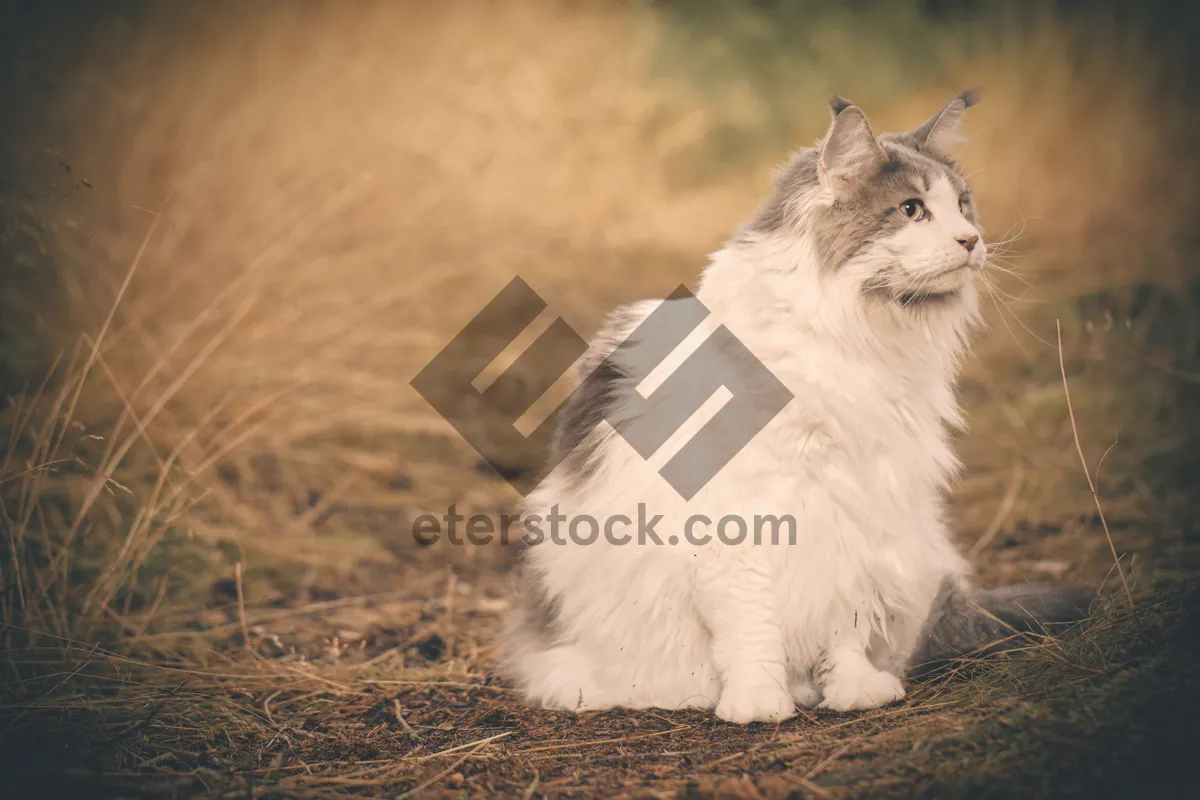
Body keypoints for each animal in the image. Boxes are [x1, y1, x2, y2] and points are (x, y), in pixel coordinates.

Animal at [496, 90, 1089, 724]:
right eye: (911, 210)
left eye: (961, 206)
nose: (971, 241)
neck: (857, 343)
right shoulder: (737, 528)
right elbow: (751, 631)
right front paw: (758, 702)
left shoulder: (857, 510)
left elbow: (843, 621)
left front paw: (852, 690)